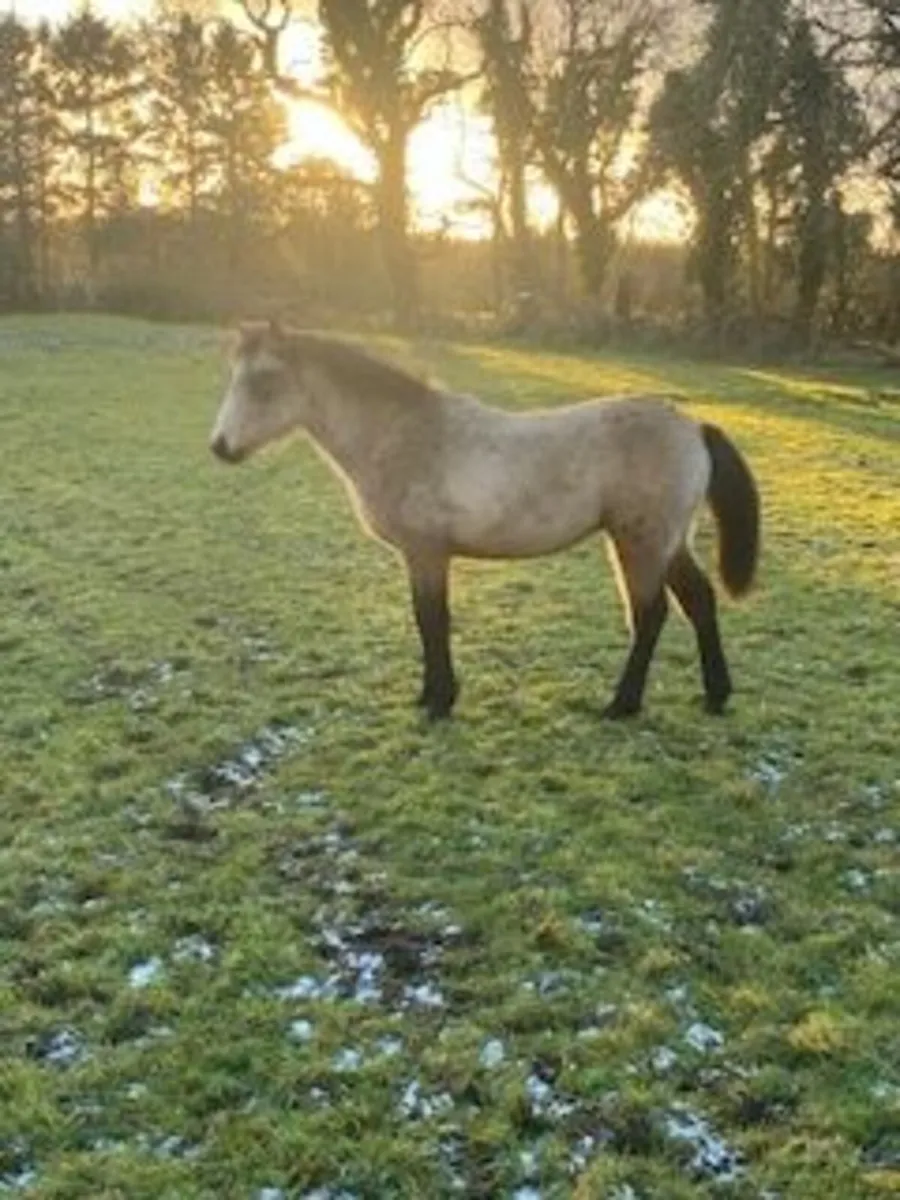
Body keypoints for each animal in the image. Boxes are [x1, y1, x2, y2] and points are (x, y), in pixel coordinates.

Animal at [210, 321, 760, 721]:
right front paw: (429, 695)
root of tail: (693, 427)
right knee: (699, 601)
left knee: (651, 616)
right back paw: (715, 696)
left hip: (640, 542)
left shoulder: (427, 551)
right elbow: (427, 620)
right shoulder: (422, 555)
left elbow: (431, 619)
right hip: (669, 542)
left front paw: (438, 702)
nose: (220, 447)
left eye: (263, 381)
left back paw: (621, 705)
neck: (403, 435)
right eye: (233, 377)